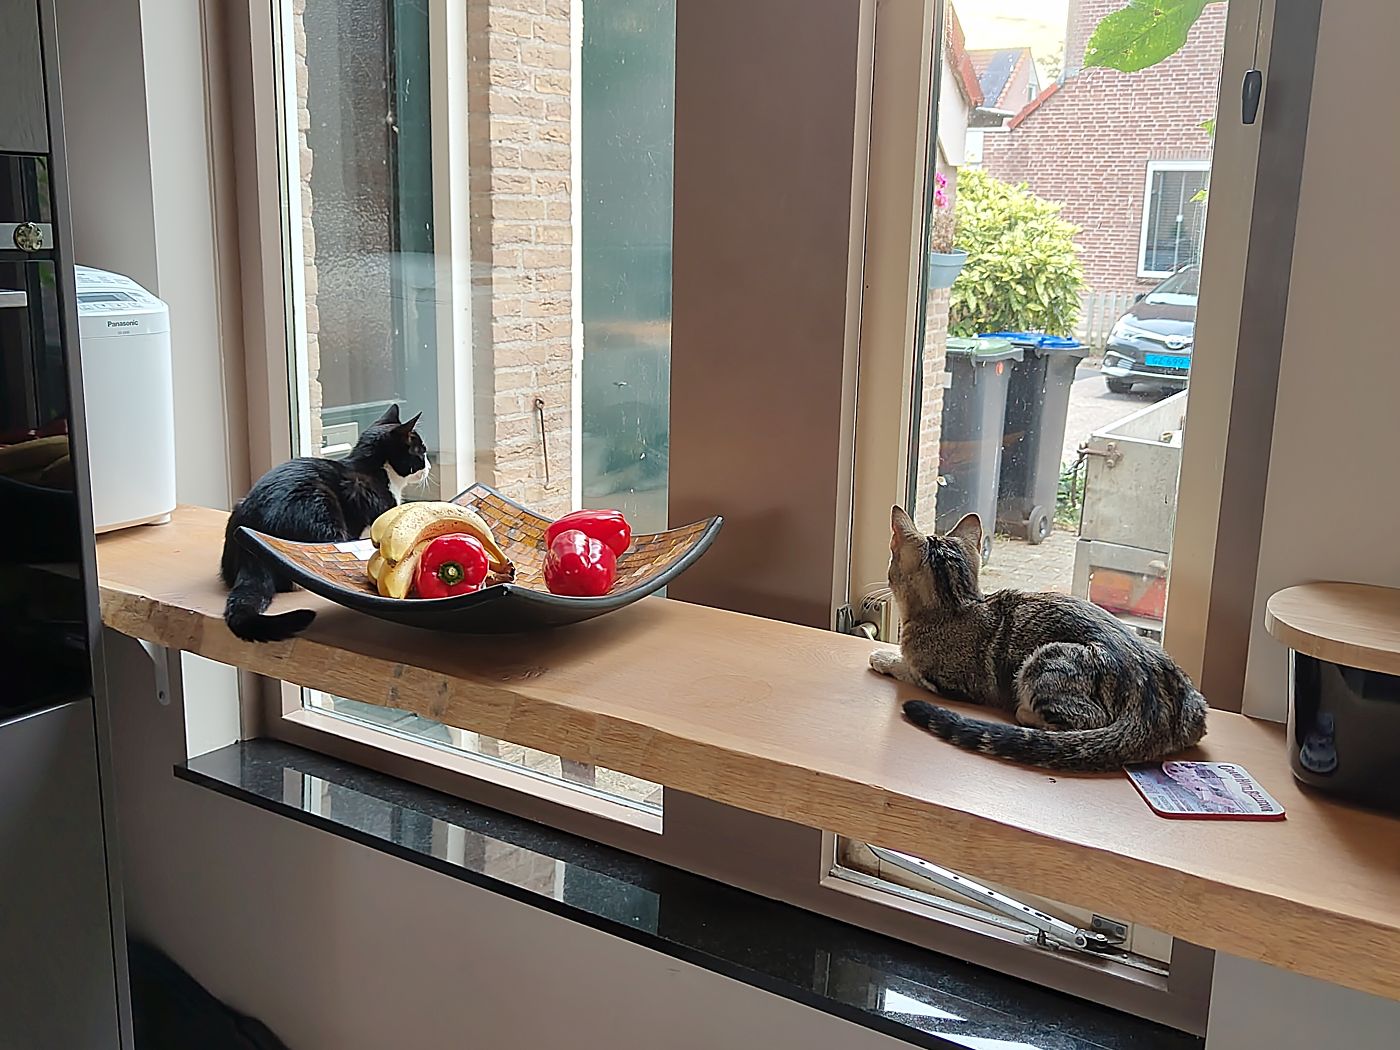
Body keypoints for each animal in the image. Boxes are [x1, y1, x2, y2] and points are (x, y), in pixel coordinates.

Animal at [220, 404, 429, 642]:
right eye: (421, 451)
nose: (429, 466)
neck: (375, 469)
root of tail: (249, 544)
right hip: (321, 509)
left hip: (240, 507)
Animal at [869, 506, 1208, 772]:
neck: (958, 602)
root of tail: (1153, 711)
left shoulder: (945, 683)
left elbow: (907, 667)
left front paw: (885, 657)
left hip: (1046, 661)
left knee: (1083, 722)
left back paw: (1026, 713)